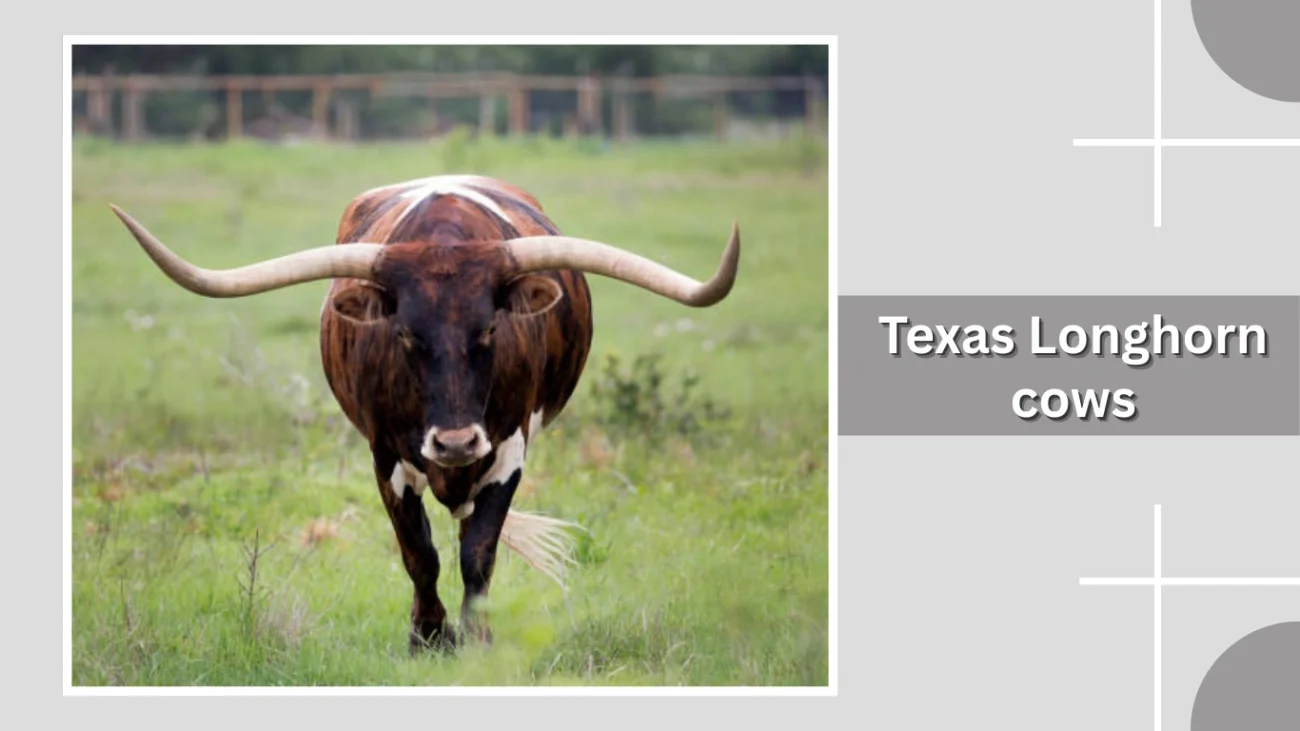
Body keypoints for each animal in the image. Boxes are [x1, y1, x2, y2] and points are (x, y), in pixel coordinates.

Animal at [107, 174, 740, 653]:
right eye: (406, 334)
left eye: (489, 329)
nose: (455, 443)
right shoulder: (385, 455)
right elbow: (420, 553)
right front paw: (430, 639)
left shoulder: (508, 450)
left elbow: (477, 553)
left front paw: (477, 640)